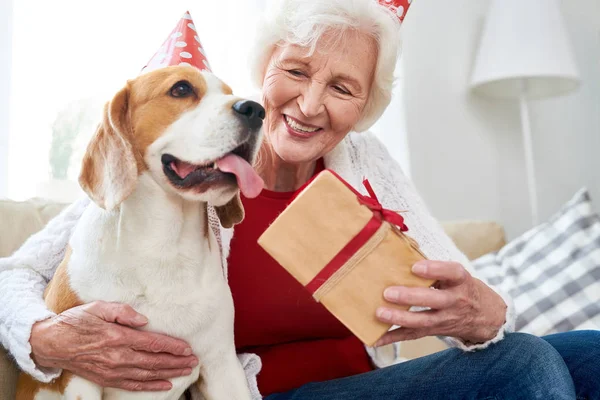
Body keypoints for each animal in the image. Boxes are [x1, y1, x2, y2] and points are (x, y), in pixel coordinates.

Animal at [15, 65, 264, 400]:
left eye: (229, 92)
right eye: (181, 89)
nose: (256, 110)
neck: (163, 246)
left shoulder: (222, 365)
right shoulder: (80, 374)